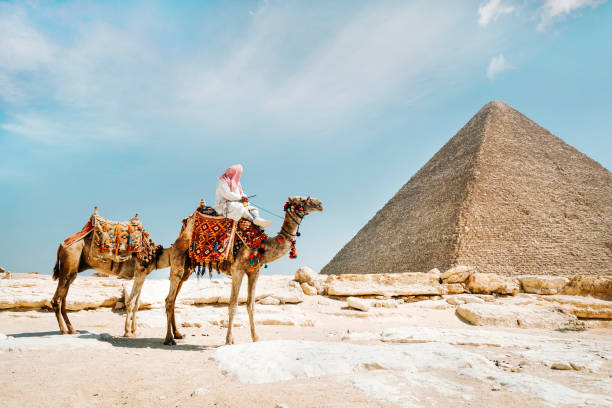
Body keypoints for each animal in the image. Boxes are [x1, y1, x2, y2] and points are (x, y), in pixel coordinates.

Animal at [163, 196, 326, 346]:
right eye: (302, 199)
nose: (320, 204)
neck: (261, 247)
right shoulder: (238, 270)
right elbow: (233, 305)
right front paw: (229, 340)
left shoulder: (254, 272)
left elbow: (251, 305)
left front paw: (256, 338)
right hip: (178, 260)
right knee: (170, 299)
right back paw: (169, 338)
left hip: (187, 267)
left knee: (173, 298)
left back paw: (178, 334)